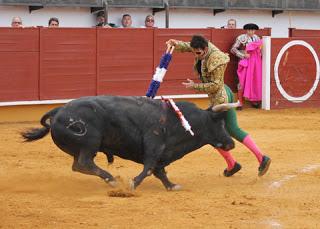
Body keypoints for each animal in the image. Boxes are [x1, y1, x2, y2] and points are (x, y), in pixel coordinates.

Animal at [20, 95, 235, 191]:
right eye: (220, 124)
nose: (231, 143)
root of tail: (58, 111)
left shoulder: (162, 153)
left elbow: (159, 171)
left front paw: (171, 185)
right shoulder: (154, 146)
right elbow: (149, 168)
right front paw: (133, 183)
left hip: (81, 148)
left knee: (78, 165)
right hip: (89, 144)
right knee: (83, 163)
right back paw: (112, 180)